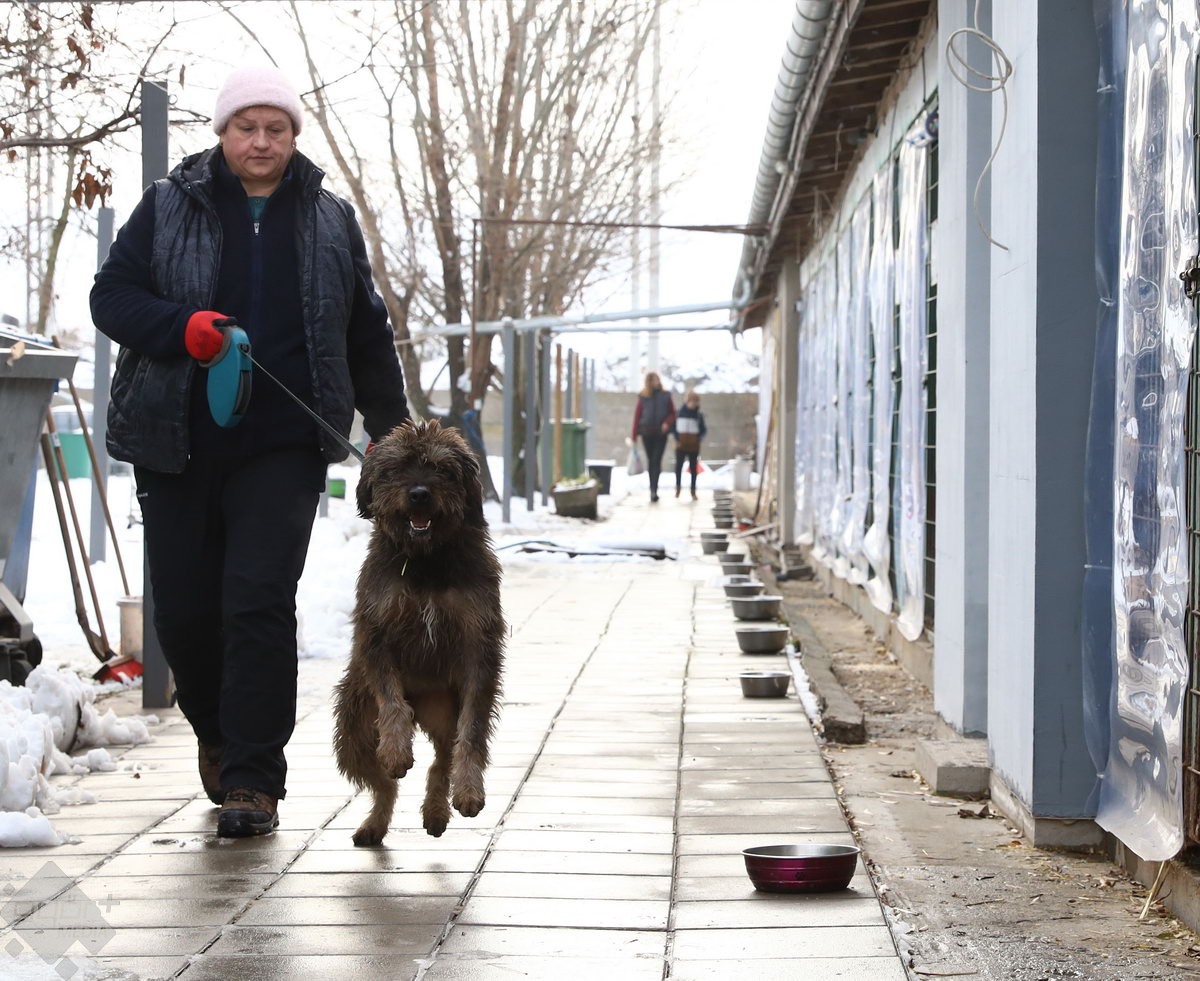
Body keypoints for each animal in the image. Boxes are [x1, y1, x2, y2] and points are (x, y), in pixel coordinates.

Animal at [333, 420, 505, 846]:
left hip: (444, 712)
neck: (426, 561)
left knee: (442, 758)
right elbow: (392, 700)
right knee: (384, 783)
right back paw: (375, 822)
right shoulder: (377, 632)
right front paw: (396, 750)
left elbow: (472, 733)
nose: (420, 494)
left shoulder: (479, 647)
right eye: (396, 468)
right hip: (353, 729)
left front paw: (470, 791)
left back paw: (437, 810)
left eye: (441, 468)